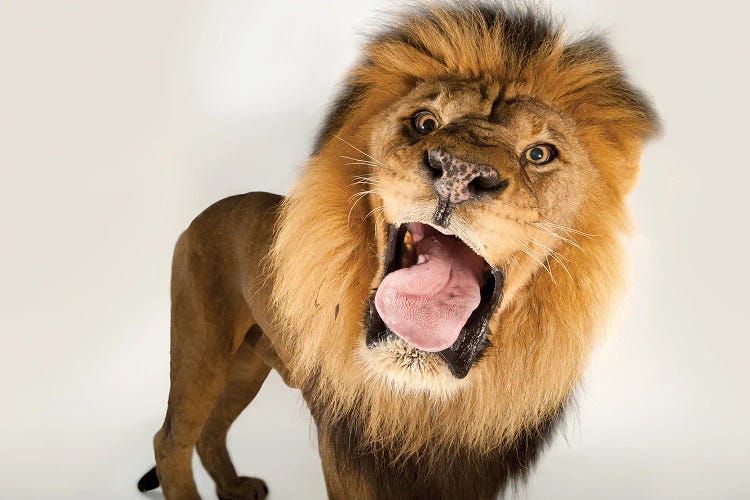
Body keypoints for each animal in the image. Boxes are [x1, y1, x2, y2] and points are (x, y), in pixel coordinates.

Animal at [138, 4, 660, 500]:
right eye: (425, 122)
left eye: (539, 154)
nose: (459, 171)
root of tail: (202, 215)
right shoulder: (349, 452)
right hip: (201, 346)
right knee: (171, 439)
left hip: (248, 362)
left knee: (212, 429)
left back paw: (234, 487)